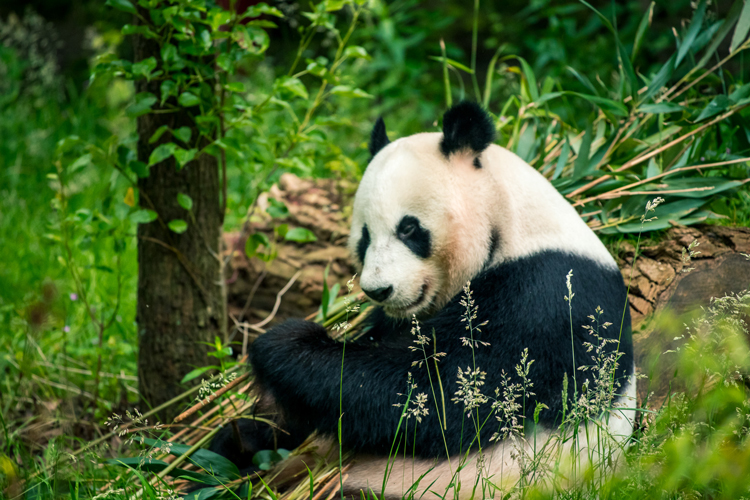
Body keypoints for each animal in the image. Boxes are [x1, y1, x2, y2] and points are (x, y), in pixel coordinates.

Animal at [210, 100, 636, 496]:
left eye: (409, 228)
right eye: (364, 236)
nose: (378, 290)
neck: (510, 220)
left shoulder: (545, 298)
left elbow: (439, 397)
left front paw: (283, 344)